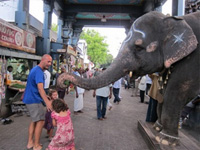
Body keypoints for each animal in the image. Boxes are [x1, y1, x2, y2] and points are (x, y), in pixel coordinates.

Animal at [57, 11, 199, 145]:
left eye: (139, 47)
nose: (63, 82)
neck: (175, 20)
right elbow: (163, 92)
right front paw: (157, 128)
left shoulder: (192, 60)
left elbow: (176, 91)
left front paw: (165, 140)